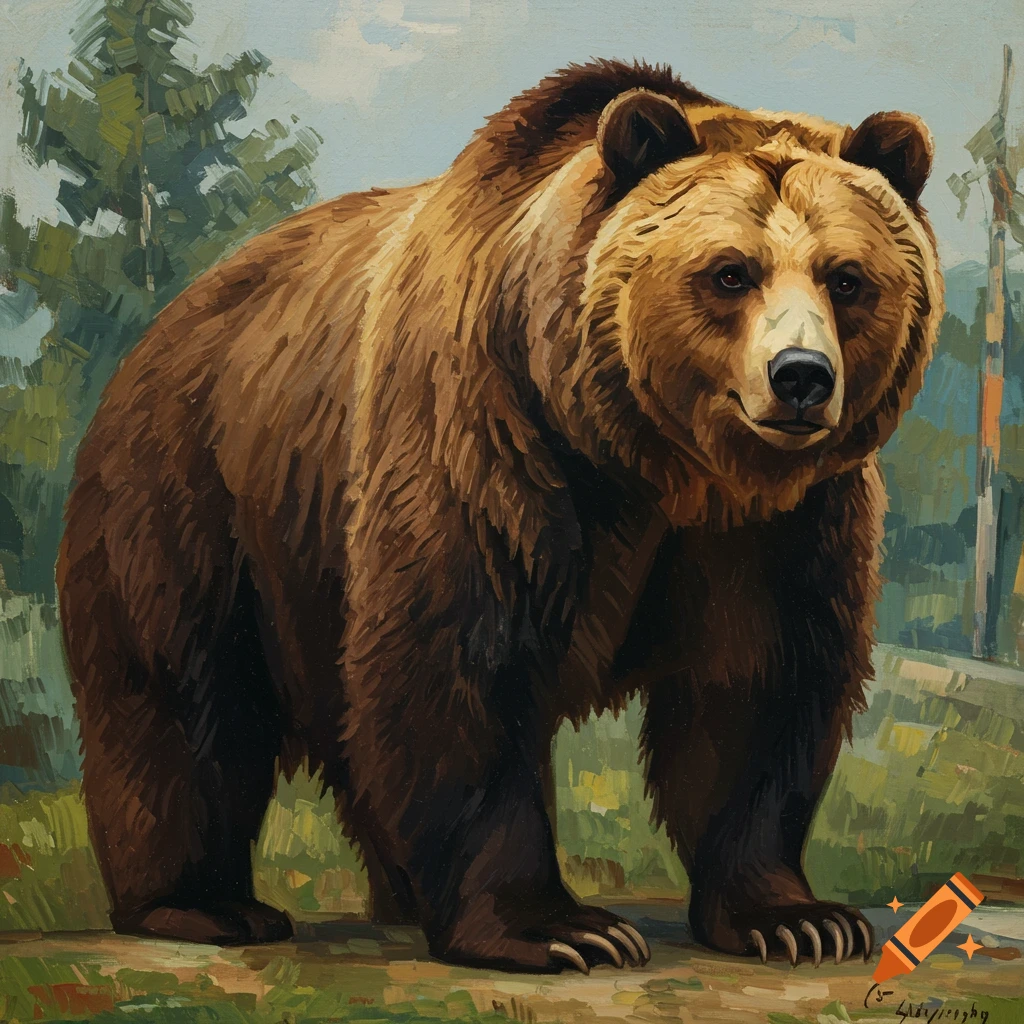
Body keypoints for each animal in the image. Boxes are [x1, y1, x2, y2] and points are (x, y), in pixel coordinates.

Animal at [57, 58, 943, 973]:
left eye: (847, 277)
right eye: (731, 271)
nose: (801, 376)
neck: (655, 460)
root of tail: (164, 321)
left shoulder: (781, 523)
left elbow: (758, 681)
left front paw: (798, 919)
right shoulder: (494, 438)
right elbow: (465, 658)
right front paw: (561, 928)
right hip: (197, 493)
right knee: (182, 695)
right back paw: (205, 904)